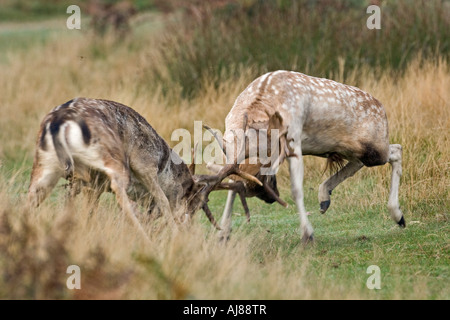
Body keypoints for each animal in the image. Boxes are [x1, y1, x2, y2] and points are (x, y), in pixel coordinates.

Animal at [214, 71, 404, 244]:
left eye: (266, 177)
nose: (271, 199)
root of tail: (382, 107)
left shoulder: (293, 139)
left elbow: (297, 190)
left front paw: (308, 235)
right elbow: (232, 184)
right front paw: (223, 234)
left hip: (375, 147)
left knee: (397, 149)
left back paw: (399, 217)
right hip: (348, 149)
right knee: (359, 161)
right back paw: (324, 199)